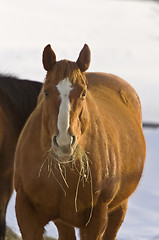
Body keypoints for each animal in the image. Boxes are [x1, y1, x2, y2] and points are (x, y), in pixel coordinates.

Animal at [13, 44, 145, 239]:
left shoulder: (96, 218)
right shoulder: (26, 212)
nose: (64, 143)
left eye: (83, 93)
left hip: (119, 208)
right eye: (46, 92)